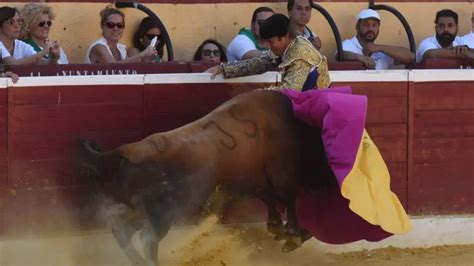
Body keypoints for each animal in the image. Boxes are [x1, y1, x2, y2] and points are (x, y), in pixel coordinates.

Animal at [79, 90, 334, 266]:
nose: (327, 183)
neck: (297, 130)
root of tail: (128, 149)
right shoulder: (282, 177)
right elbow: (290, 200)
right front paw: (294, 236)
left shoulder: (257, 182)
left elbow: (271, 201)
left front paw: (280, 230)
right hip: (162, 212)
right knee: (148, 238)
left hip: (136, 209)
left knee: (121, 230)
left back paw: (139, 262)